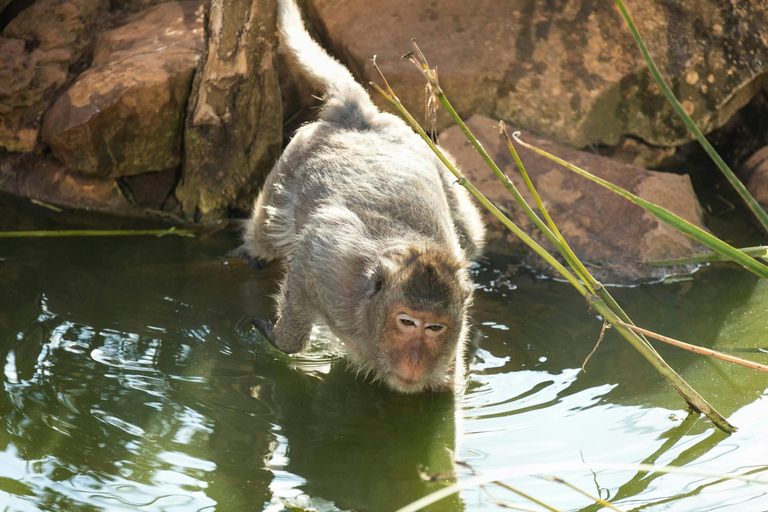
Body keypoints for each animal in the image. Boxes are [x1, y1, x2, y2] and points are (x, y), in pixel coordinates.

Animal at [242, 0, 486, 394]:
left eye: (435, 327)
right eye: (407, 322)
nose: (415, 360)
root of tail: (360, 118)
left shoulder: (451, 350)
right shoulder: (334, 273)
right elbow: (309, 253)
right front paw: (283, 338)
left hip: (433, 154)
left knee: (472, 236)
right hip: (291, 164)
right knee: (267, 229)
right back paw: (255, 250)